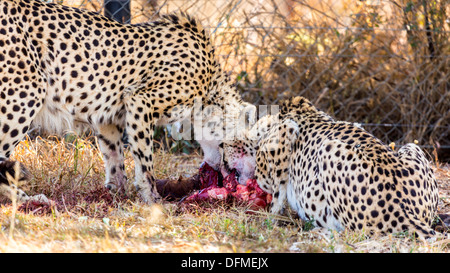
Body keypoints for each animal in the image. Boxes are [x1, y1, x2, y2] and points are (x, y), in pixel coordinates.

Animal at [0, 0, 255, 203]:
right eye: (252, 149)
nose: (248, 178)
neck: (211, 84)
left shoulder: (108, 118)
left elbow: (114, 156)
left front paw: (116, 192)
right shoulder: (141, 100)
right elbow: (144, 159)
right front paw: (152, 199)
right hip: (25, 93)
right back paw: (29, 199)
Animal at [221, 96, 440, 237]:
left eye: (223, 144)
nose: (222, 165)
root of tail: (406, 211)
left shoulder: (287, 131)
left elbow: (276, 193)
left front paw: (269, 220)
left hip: (328, 148)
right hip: (412, 146)